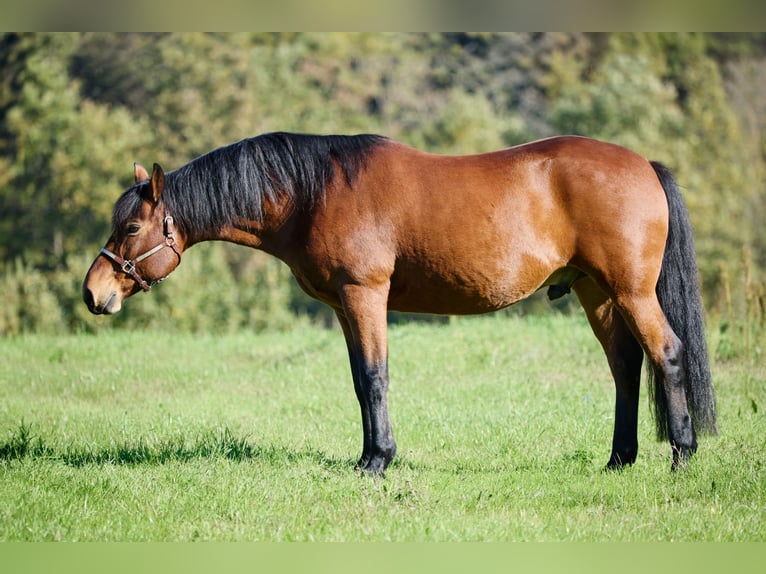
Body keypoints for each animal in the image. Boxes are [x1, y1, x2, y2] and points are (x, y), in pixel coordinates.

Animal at [84, 133, 720, 474]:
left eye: (133, 226)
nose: (94, 293)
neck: (314, 193)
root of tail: (644, 165)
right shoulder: (344, 305)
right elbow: (359, 380)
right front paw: (368, 455)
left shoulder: (365, 294)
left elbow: (375, 376)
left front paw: (378, 461)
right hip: (596, 291)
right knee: (626, 367)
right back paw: (619, 459)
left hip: (631, 291)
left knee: (667, 353)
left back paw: (681, 455)